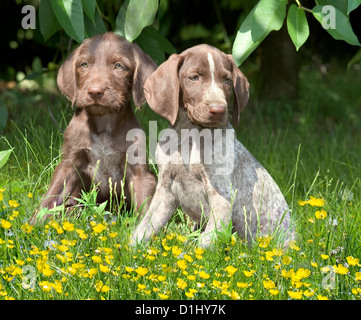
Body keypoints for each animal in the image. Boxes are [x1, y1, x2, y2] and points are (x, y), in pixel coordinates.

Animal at [32, 32, 158, 222]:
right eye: (84, 64)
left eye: (119, 66)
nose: (95, 91)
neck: (103, 123)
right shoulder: (70, 163)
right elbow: (52, 195)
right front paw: (34, 223)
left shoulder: (139, 170)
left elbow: (146, 203)